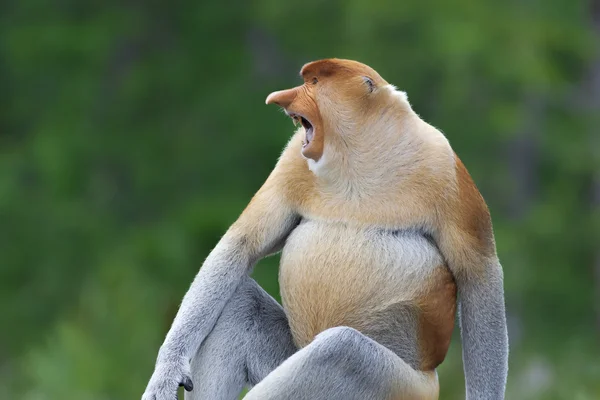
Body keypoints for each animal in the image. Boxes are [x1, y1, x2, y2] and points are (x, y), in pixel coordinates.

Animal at [143, 57, 508, 398]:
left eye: (315, 82)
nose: (279, 97)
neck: (358, 153)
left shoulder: (444, 166)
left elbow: (479, 274)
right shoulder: (293, 160)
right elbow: (242, 244)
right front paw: (167, 372)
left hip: (402, 386)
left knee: (339, 350)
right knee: (241, 305)